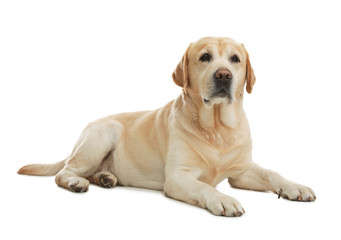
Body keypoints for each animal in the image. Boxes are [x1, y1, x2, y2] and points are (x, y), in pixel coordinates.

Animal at [17, 36, 314, 217]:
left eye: (235, 59)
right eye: (205, 57)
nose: (223, 75)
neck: (217, 129)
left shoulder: (241, 172)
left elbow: (272, 174)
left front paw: (295, 187)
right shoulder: (178, 177)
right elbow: (206, 187)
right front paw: (224, 199)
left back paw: (106, 178)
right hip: (104, 133)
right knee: (64, 173)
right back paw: (77, 182)